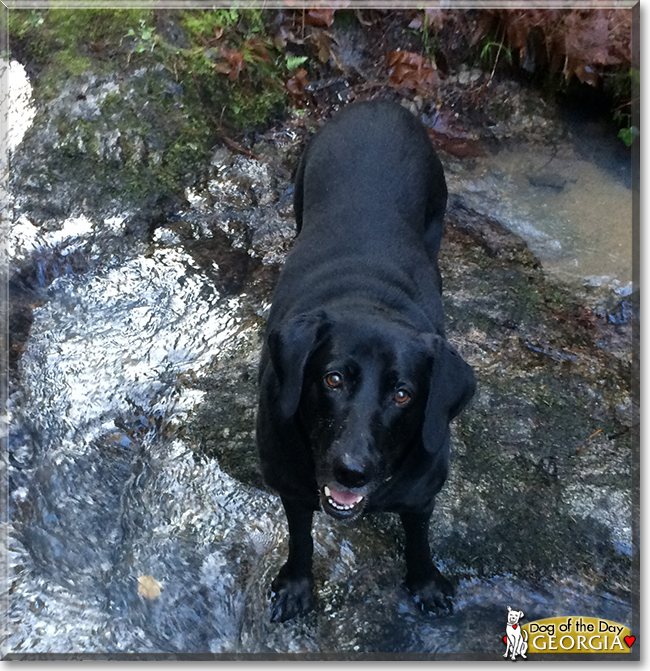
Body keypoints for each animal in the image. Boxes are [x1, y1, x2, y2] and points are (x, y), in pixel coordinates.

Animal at [256, 101, 474, 624]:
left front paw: (426, 582)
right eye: (333, 379)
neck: (370, 301)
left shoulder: (421, 493)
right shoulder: (292, 486)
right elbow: (300, 537)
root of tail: (380, 105)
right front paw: (296, 586)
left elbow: (419, 538)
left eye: (403, 394)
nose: (351, 471)